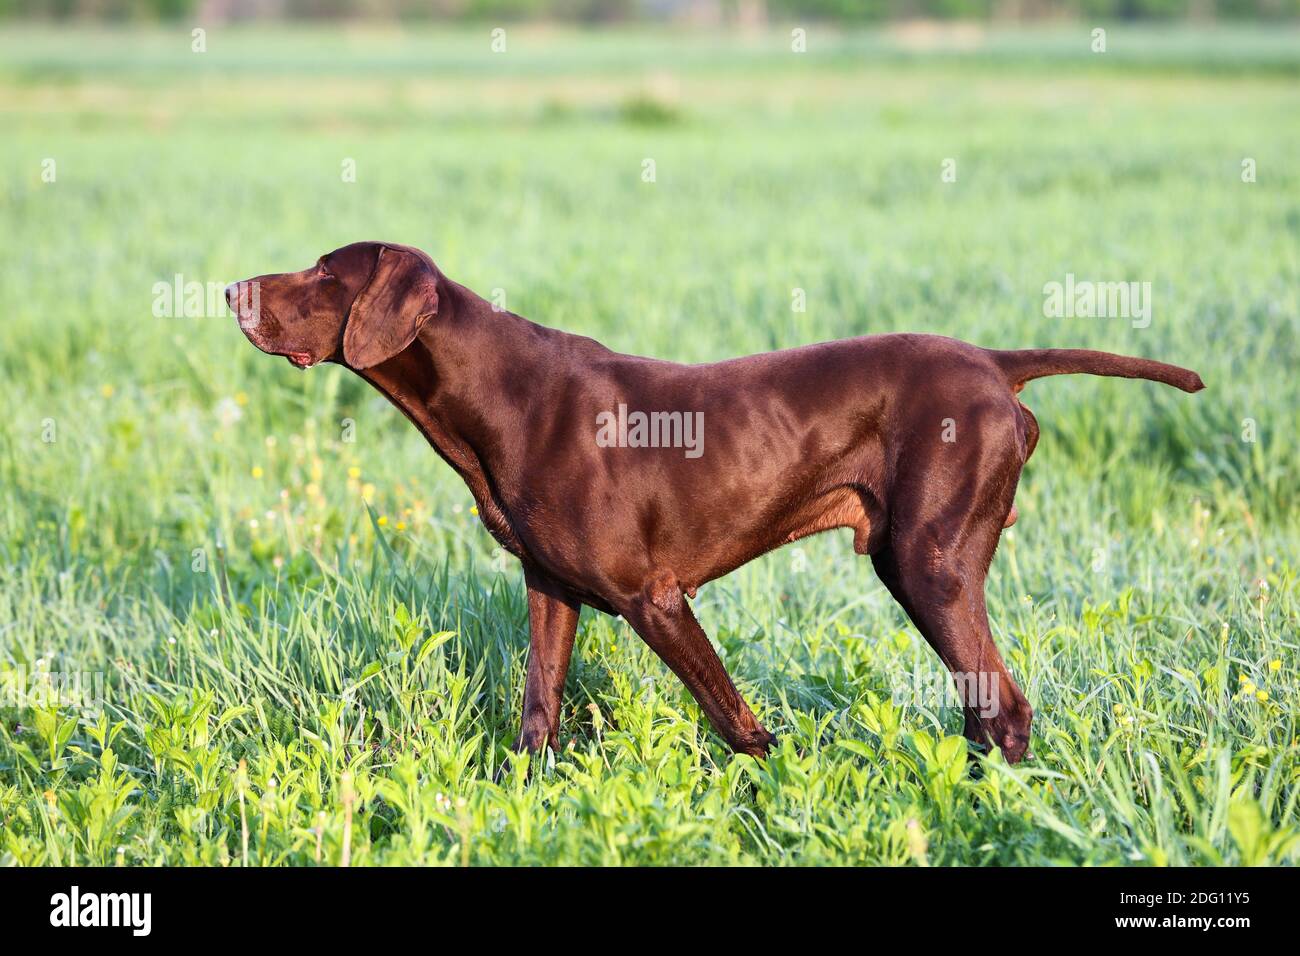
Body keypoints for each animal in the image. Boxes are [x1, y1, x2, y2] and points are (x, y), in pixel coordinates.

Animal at [226, 243, 1206, 764]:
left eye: (324, 273)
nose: (232, 289)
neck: (498, 395)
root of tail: (995, 363)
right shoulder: (551, 591)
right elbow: (539, 713)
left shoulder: (654, 598)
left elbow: (736, 721)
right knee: (981, 705)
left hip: (928, 564)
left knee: (1003, 707)